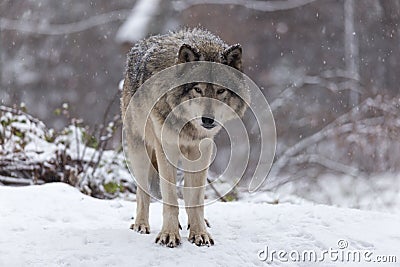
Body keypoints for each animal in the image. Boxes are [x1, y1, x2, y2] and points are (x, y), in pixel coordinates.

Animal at [120, 28, 248, 248]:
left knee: (188, 192)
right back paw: (141, 224)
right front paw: (168, 235)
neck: (188, 126)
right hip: (140, 150)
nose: (208, 119)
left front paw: (199, 233)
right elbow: (170, 198)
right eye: (198, 89)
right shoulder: (166, 148)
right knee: (142, 190)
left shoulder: (202, 149)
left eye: (220, 90)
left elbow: (196, 198)